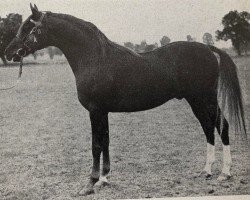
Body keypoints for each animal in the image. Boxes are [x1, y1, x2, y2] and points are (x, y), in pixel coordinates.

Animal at [5, 3, 246, 196]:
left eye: (28, 27)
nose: (8, 53)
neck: (95, 58)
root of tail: (208, 48)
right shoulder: (102, 111)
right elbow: (105, 141)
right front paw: (104, 179)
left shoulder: (95, 110)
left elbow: (96, 144)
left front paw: (89, 184)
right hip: (195, 100)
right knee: (208, 128)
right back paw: (206, 171)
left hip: (206, 98)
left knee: (222, 126)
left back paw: (225, 173)